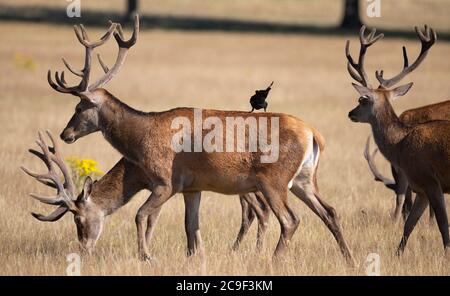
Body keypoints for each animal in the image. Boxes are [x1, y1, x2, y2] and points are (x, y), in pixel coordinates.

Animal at [45, 15, 356, 262]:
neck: (141, 140)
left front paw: (146, 256)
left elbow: (141, 215)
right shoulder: (192, 187)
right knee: (330, 211)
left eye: (79, 108)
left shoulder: (166, 181)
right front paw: (195, 257)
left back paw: (274, 260)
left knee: (290, 220)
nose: (65, 133)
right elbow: (191, 227)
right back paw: (349, 259)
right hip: (304, 179)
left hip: (274, 179)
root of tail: (313, 134)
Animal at [348, 25, 450, 256]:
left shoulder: (430, 179)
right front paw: (397, 254)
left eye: (362, 99)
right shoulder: (420, 187)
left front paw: (447, 253)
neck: (401, 144)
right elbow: (409, 224)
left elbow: (442, 223)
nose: (351, 113)